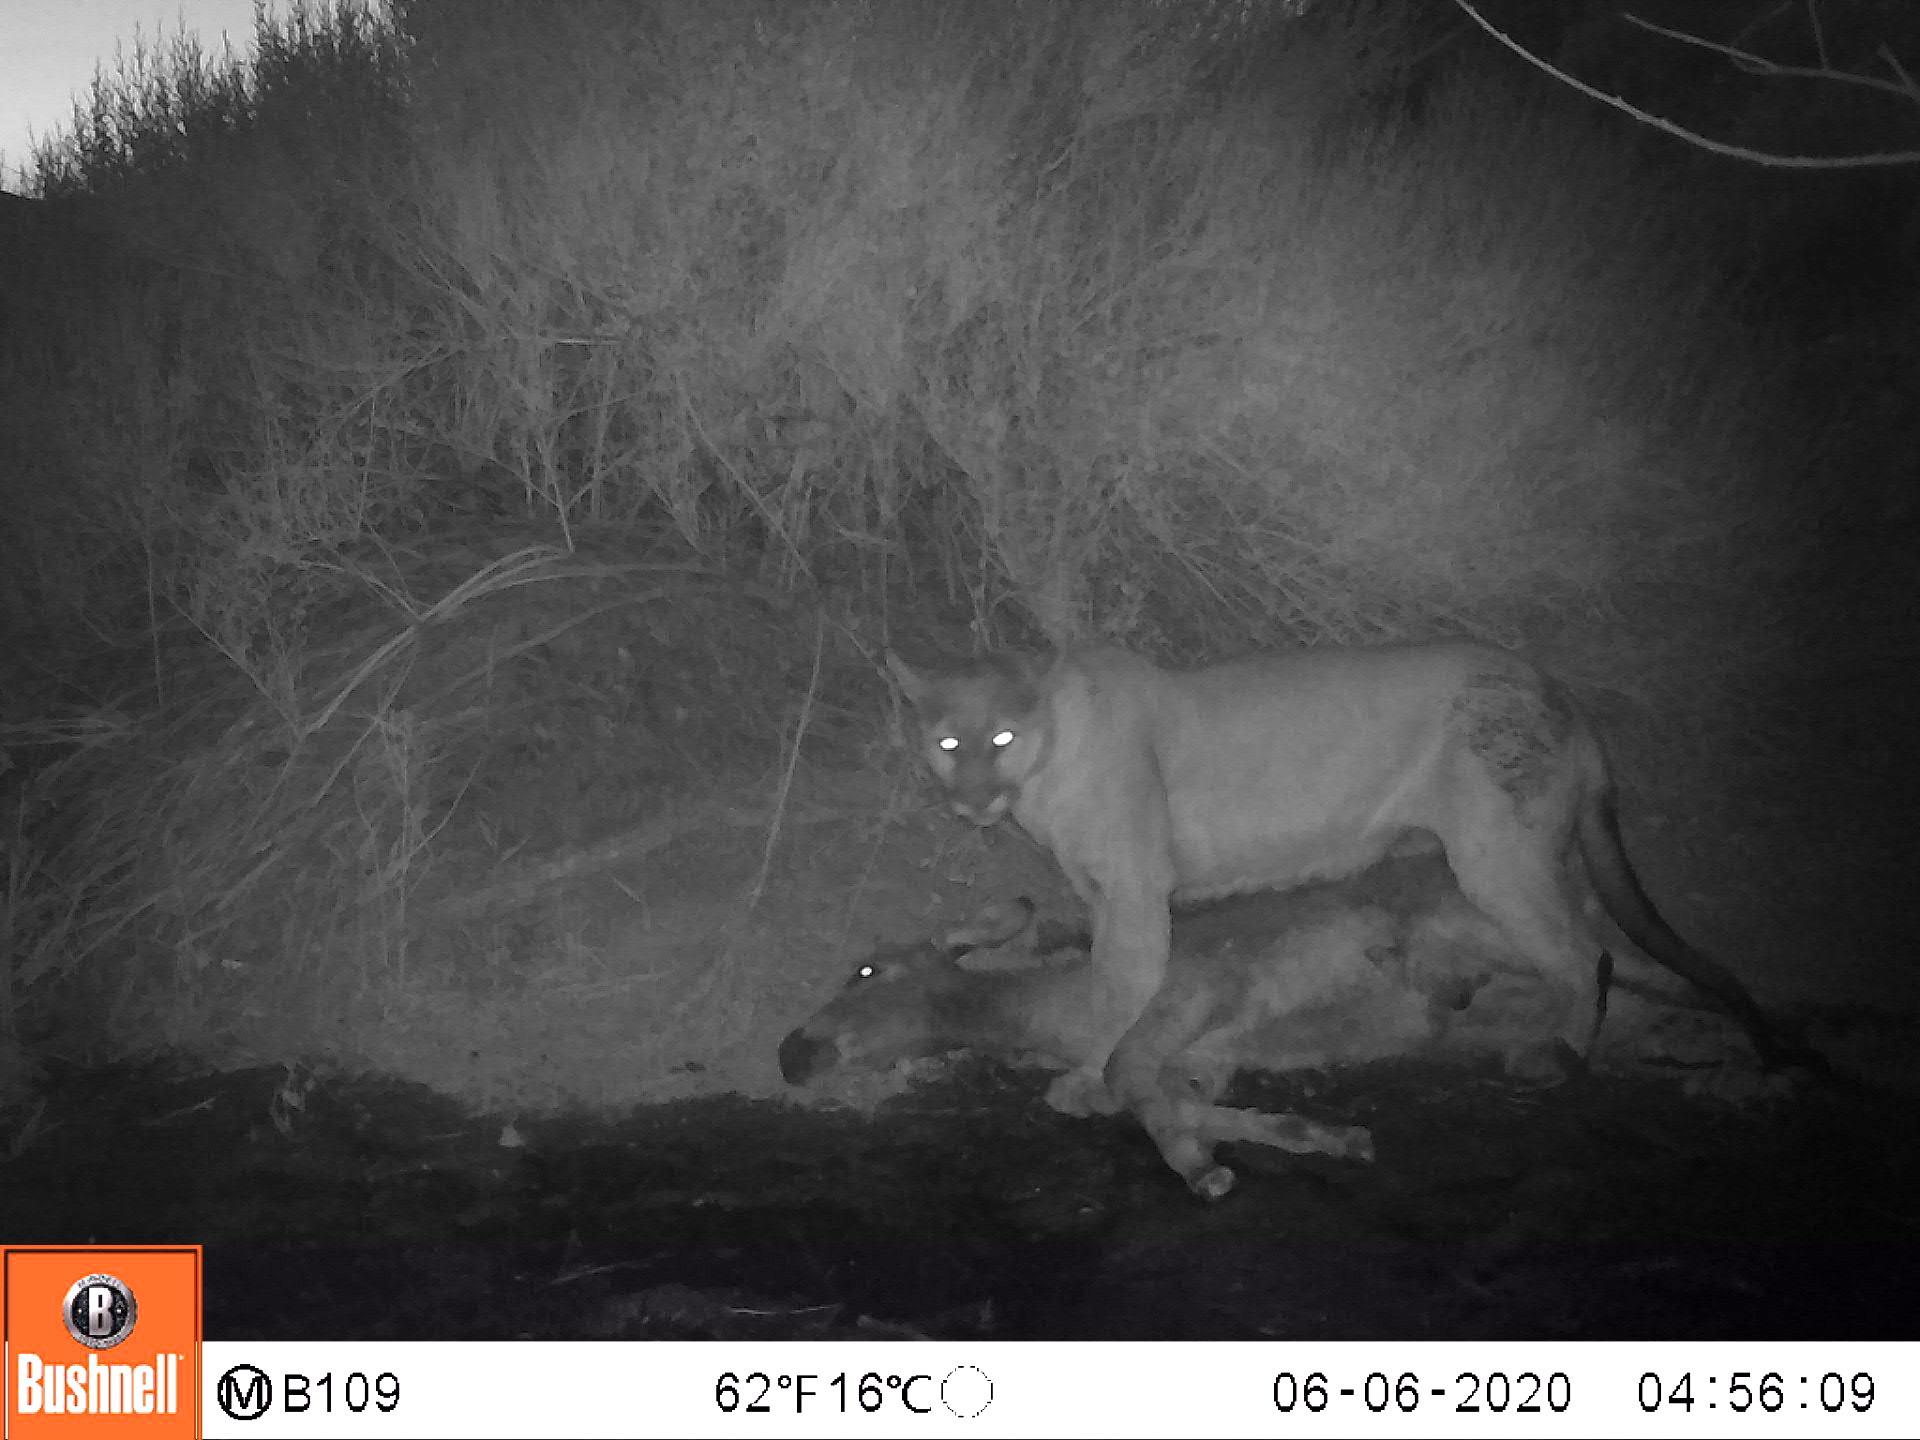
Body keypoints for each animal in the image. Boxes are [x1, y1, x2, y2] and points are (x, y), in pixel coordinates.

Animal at [886, 641, 1817, 1114]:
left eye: (1002, 738)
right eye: (947, 741)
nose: (971, 798)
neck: (1046, 771)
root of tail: (1564, 699)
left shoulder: (1136, 896)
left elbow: (1116, 987)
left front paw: (1084, 1080)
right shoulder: (1103, 894)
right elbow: (1112, 983)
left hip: (1499, 859)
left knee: (1586, 954)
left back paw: (1557, 1057)